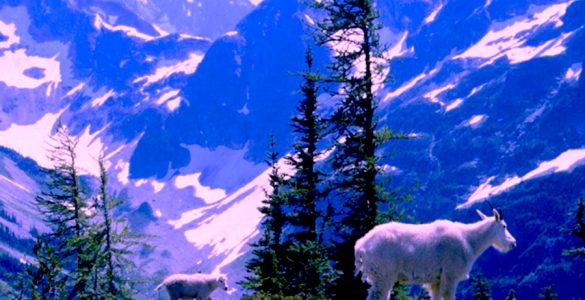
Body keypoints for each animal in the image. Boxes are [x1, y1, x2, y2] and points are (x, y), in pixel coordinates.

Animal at [354, 209, 512, 300]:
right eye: (504, 226)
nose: (513, 242)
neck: (468, 240)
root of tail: (360, 246)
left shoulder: (435, 281)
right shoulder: (450, 276)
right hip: (382, 276)